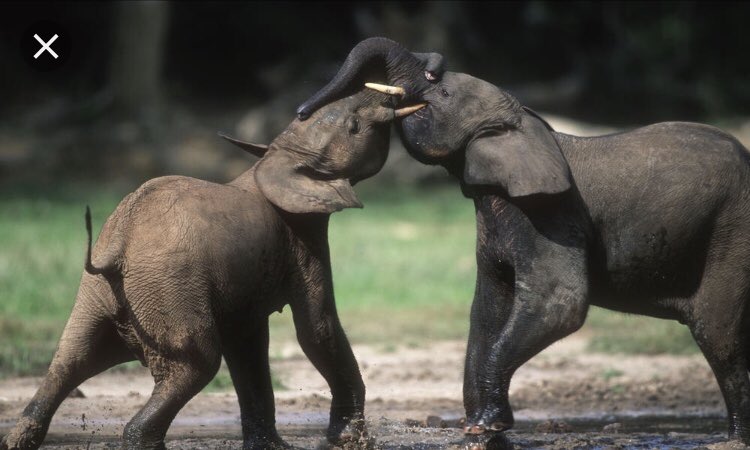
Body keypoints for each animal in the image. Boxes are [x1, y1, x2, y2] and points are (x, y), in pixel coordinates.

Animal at [1, 88, 424, 450]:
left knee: (69, 360)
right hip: (167, 286)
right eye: (354, 126)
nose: (391, 94)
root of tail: (118, 246)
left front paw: (273, 448)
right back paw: (140, 438)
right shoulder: (302, 242)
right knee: (197, 364)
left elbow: (248, 345)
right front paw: (350, 441)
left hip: (100, 292)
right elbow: (317, 330)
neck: (273, 161)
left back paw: (20, 437)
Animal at [298, 37, 750, 446]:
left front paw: (485, 427)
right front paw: (479, 430)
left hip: (732, 233)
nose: (302, 111)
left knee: (718, 333)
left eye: (442, 94)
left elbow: (560, 304)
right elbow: (487, 309)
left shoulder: (550, 214)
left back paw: (732, 437)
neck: (524, 126)